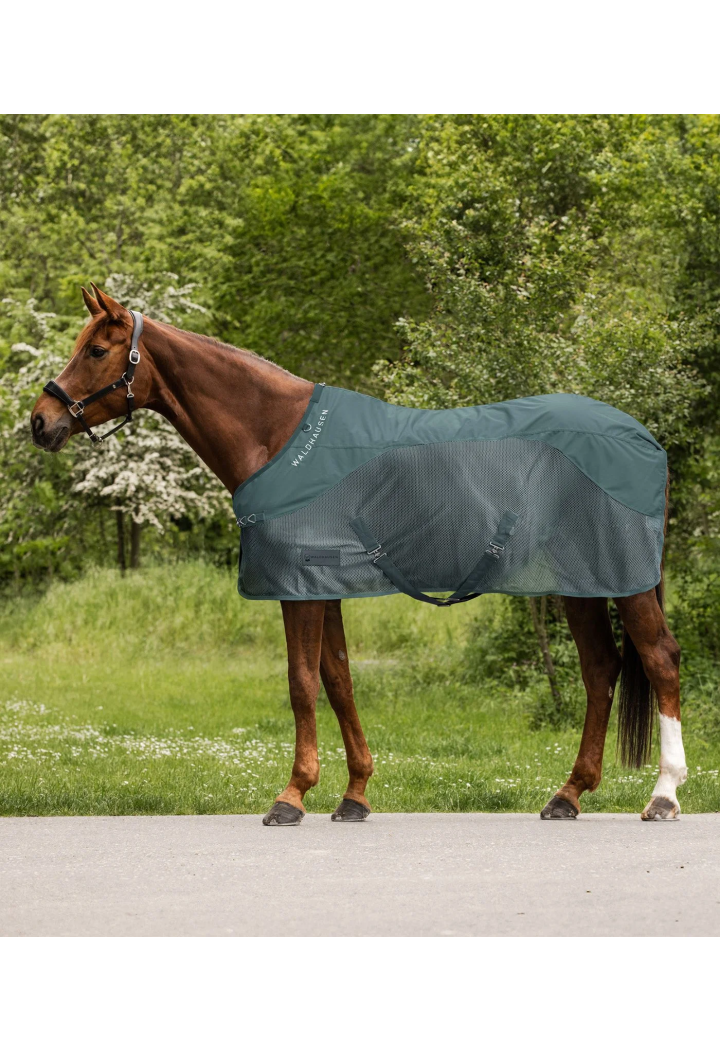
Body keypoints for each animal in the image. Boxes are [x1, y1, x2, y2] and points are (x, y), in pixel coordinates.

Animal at [30, 285, 688, 825]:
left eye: (96, 350)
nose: (40, 421)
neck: (278, 436)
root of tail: (641, 436)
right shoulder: (323, 588)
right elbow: (338, 679)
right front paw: (354, 795)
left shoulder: (298, 587)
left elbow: (301, 682)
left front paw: (292, 796)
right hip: (580, 582)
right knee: (601, 669)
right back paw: (567, 795)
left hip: (624, 581)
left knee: (659, 660)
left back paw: (663, 795)